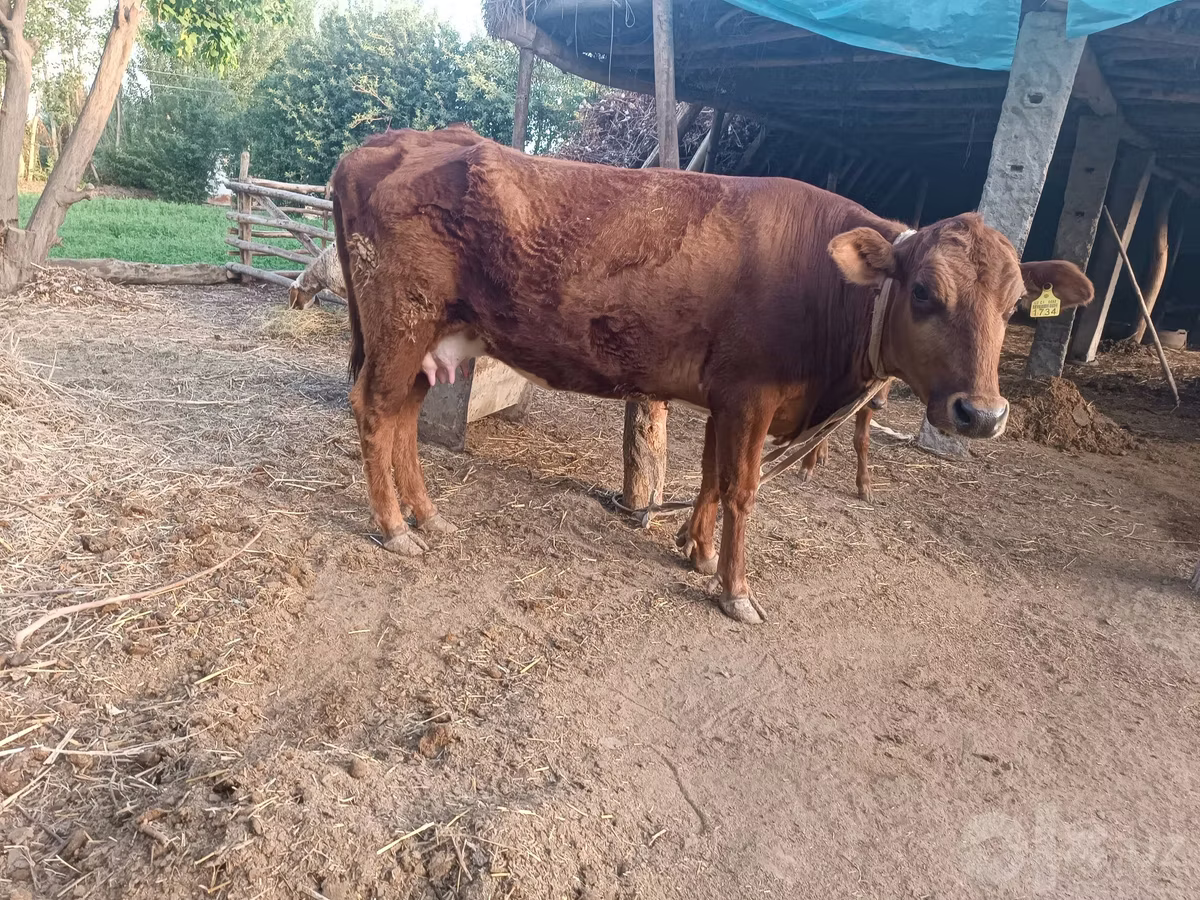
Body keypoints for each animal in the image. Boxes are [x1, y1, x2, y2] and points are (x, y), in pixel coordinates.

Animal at [331, 125, 1094, 624]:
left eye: (1015, 303)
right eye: (926, 292)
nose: (982, 414)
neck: (820, 285)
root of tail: (386, 142)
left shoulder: (724, 397)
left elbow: (708, 476)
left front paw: (694, 549)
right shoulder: (752, 395)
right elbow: (742, 490)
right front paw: (734, 590)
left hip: (432, 339)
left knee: (402, 414)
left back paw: (429, 516)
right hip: (401, 322)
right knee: (373, 407)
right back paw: (394, 527)